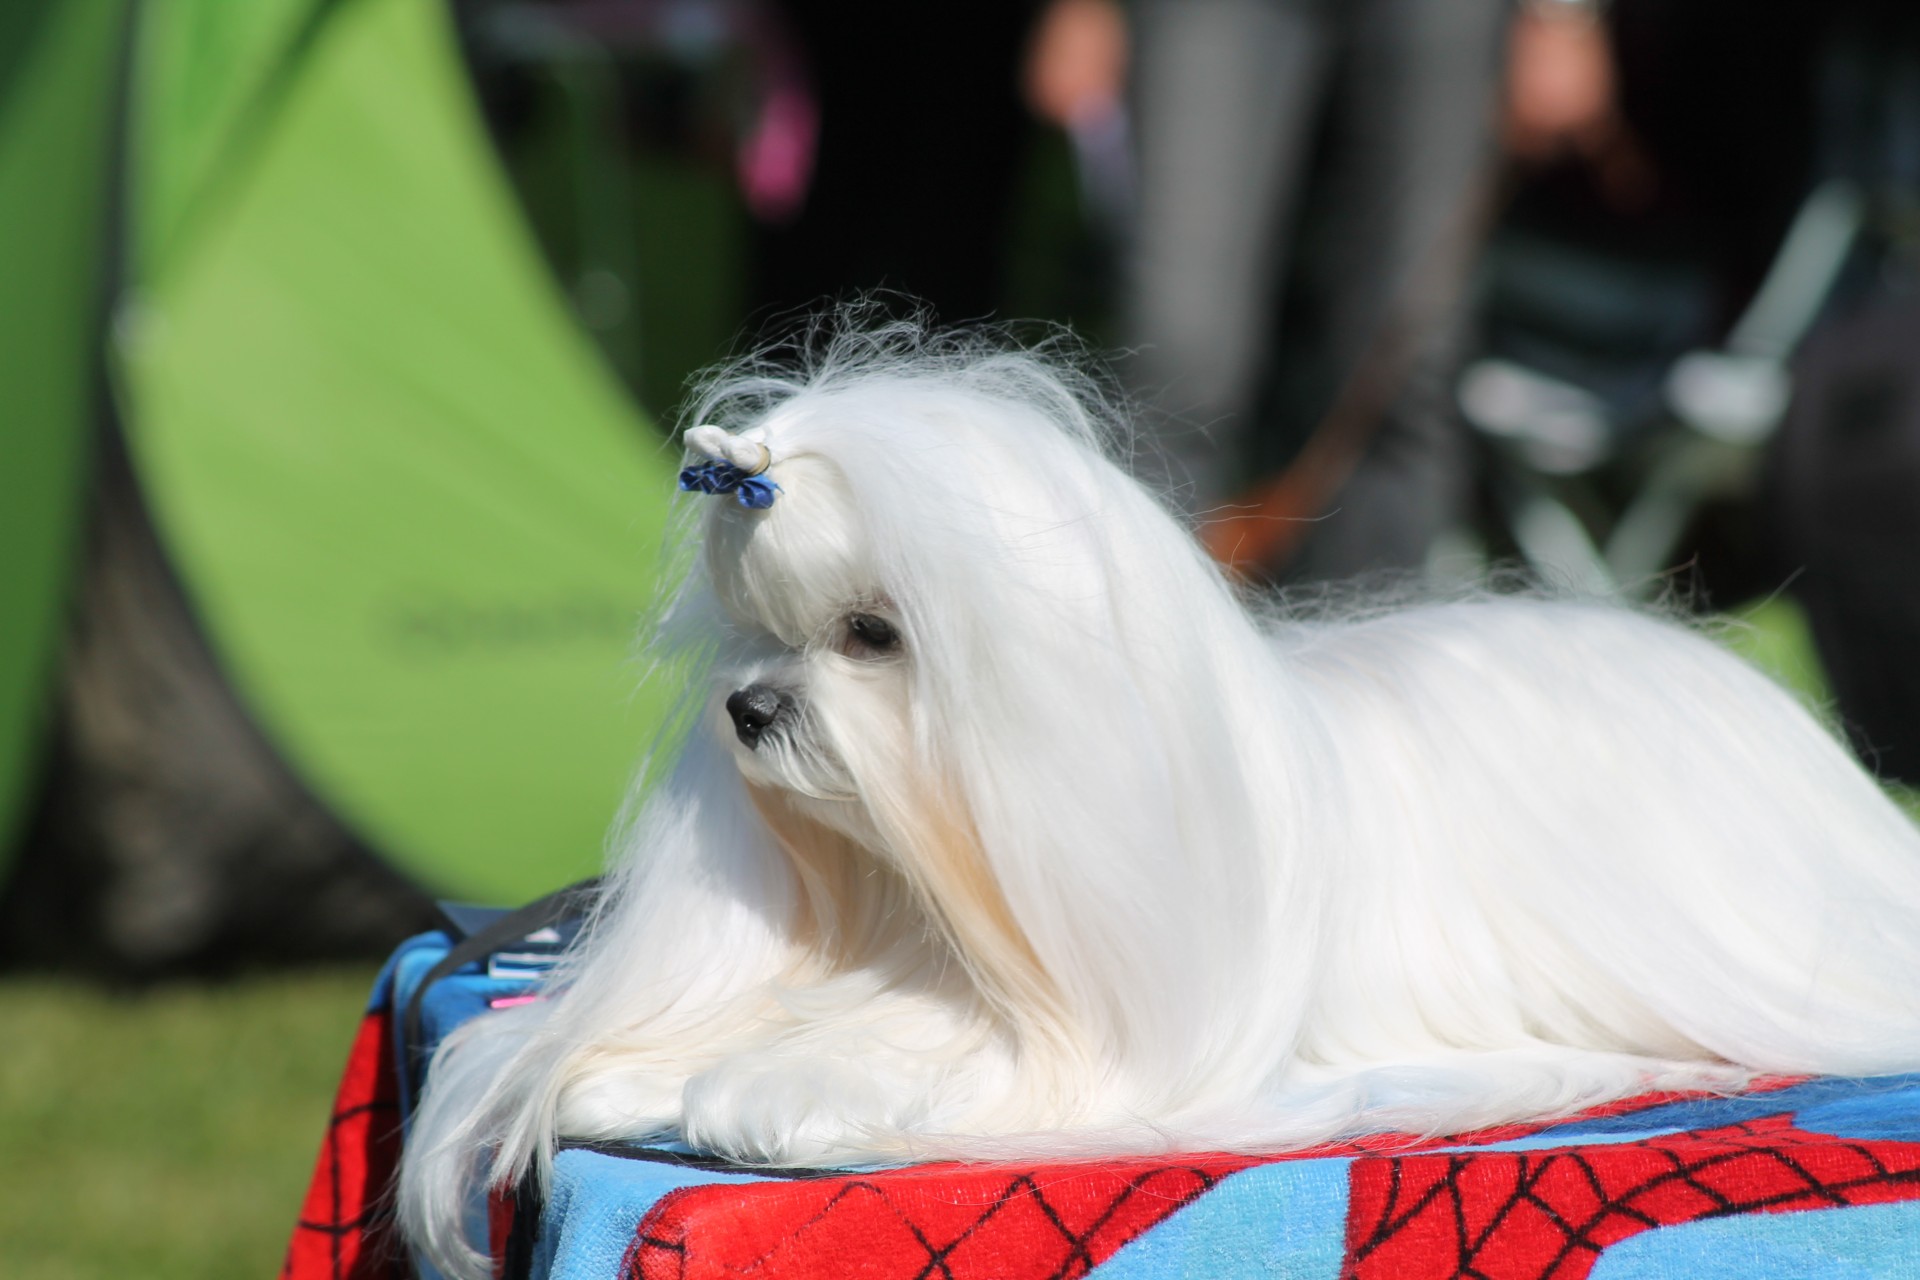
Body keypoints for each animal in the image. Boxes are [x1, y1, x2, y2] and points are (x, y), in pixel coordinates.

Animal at [397, 328, 1920, 1274]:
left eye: (874, 634)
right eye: (754, 635)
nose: (751, 711)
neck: (938, 896)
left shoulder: (1113, 1060)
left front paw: (778, 1091)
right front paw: (636, 1066)